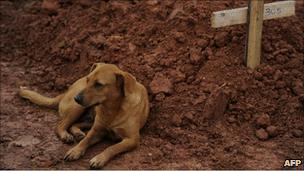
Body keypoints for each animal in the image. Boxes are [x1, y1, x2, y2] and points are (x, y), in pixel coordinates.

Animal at [19, 62, 150, 168]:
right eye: (88, 80)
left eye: (98, 84)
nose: (76, 98)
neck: (112, 109)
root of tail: (65, 92)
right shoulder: (97, 130)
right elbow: (86, 140)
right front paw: (75, 151)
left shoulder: (132, 140)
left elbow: (112, 147)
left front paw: (99, 158)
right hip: (78, 109)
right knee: (61, 125)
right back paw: (66, 135)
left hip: (87, 116)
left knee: (74, 125)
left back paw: (78, 133)